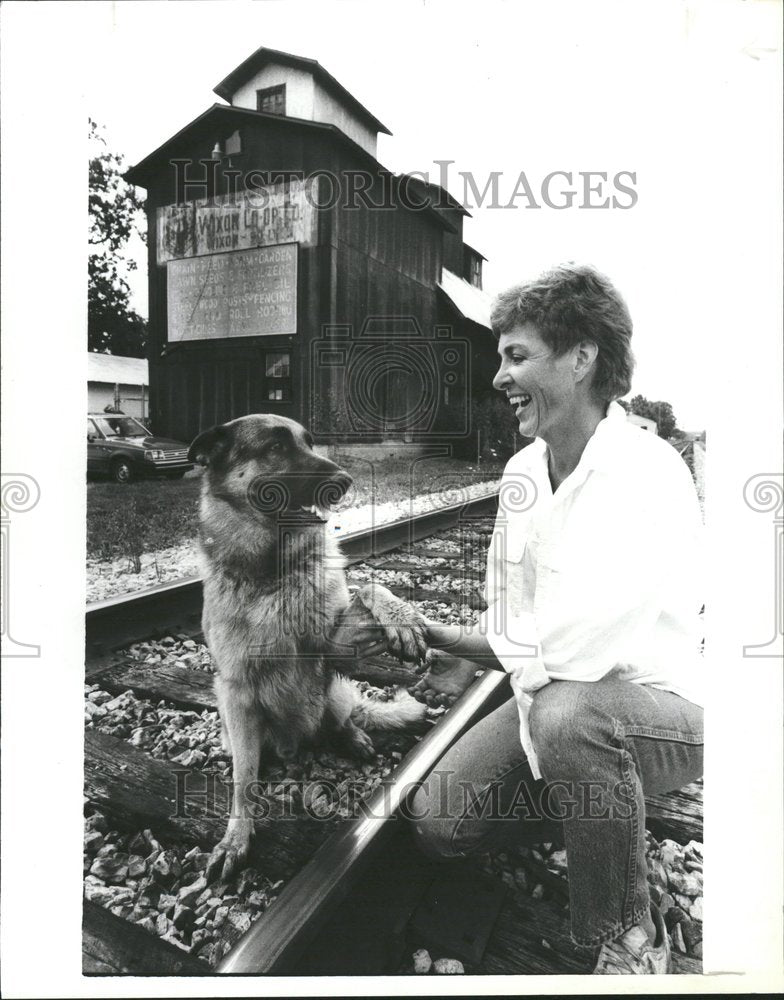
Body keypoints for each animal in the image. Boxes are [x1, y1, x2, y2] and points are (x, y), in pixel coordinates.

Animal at [187, 410, 426, 880]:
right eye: (276, 446)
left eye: (310, 443)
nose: (345, 481)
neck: (273, 572)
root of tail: (293, 743)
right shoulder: (236, 693)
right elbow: (243, 780)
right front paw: (236, 838)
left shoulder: (334, 644)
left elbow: (371, 585)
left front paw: (402, 618)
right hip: (230, 713)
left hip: (332, 693)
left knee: (341, 717)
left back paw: (353, 736)